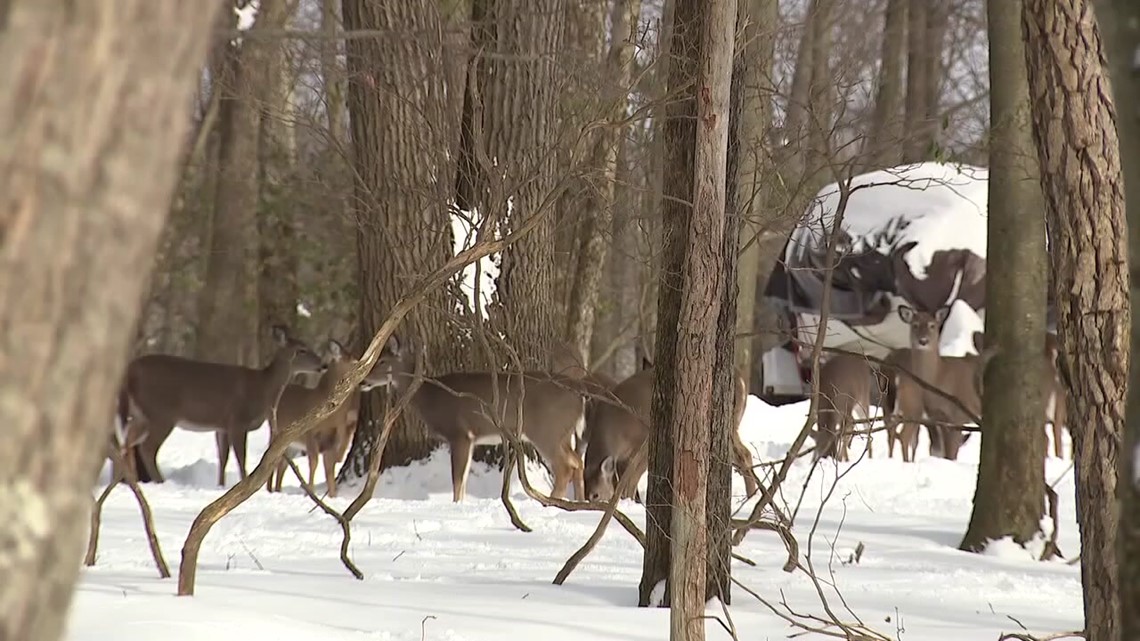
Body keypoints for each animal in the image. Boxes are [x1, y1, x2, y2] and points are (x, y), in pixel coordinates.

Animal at [119, 325, 325, 486]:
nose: (323, 365)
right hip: (161, 413)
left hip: (141, 415)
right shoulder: (238, 420)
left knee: (128, 442)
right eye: (301, 349)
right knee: (146, 447)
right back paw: (159, 481)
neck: (262, 389)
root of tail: (130, 370)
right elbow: (241, 458)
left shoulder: (222, 426)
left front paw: (221, 485)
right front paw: (243, 484)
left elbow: (223, 458)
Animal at [265, 339, 360, 498]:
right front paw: (309, 492)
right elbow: (314, 463)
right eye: (355, 361)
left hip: (292, 444)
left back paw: (277, 490)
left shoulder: (333, 440)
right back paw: (269, 491)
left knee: (282, 465)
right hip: (276, 432)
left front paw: (332, 497)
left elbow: (329, 469)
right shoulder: (310, 434)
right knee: (271, 461)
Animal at [360, 334, 611, 503]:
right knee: (577, 462)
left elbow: (457, 478)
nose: (362, 381)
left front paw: (456, 505)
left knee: (564, 466)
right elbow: (462, 478)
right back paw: (579, 501)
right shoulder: (470, 438)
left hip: (546, 430)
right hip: (563, 433)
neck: (429, 396)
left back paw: (552, 502)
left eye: (382, 361)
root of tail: (579, 392)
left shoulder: (460, 433)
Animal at [580, 362, 762, 503]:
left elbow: (630, 479)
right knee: (743, 454)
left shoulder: (644, 441)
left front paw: (627, 501)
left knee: (743, 454)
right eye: (586, 494)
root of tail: (741, 379)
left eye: (595, 495)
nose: (590, 502)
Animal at [882, 305, 984, 462]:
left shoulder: (955, 416)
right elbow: (945, 452)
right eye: (915, 325)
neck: (940, 376)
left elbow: (947, 453)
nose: (923, 341)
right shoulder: (942, 417)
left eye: (932, 325)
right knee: (899, 434)